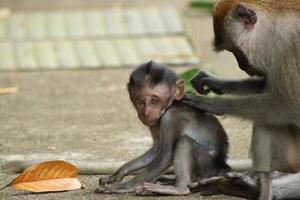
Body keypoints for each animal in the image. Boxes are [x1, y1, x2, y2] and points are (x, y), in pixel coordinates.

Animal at [96, 61, 230, 195]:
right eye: (140, 101)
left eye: (155, 101)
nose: (146, 113)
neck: (170, 105)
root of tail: (222, 165)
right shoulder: (154, 122)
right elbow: (157, 149)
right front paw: (118, 173)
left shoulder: (170, 117)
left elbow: (166, 154)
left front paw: (123, 186)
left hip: (207, 165)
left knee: (184, 142)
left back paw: (178, 188)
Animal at [183, 0, 300, 200]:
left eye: (235, 50)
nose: (242, 66)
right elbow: (266, 86)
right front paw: (214, 82)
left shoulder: (288, 45)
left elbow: (289, 106)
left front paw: (214, 104)